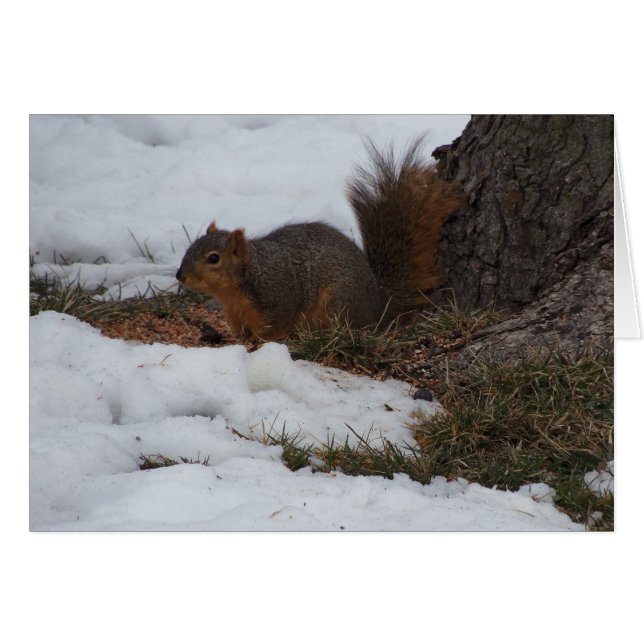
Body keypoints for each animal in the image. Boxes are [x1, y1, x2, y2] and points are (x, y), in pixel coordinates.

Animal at [176, 139, 463, 341]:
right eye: (190, 247)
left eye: (214, 258)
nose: (180, 276)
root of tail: (379, 305)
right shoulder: (236, 315)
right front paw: (240, 340)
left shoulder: (279, 298)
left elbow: (274, 327)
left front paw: (260, 341)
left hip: (339, 300)